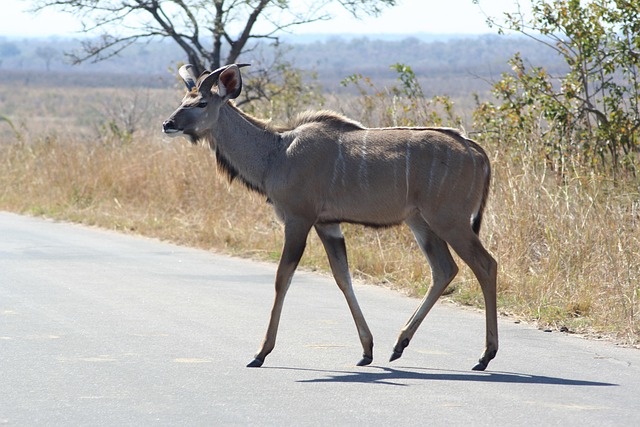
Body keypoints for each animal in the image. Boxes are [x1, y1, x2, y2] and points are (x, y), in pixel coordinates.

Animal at [162, 63, 498, 371]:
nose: (168, 124)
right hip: (421, 222)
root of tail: (477, 152)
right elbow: (342, 277)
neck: (277, 153)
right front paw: (366, 351)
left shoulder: (298, 219)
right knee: (444, 269)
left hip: (450, 221)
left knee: (485, 264)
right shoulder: (328, 225)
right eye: (183, 99)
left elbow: (282, 278)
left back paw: (484, 356)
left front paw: (260, 353)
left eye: (201, 103)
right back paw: (399, 345)